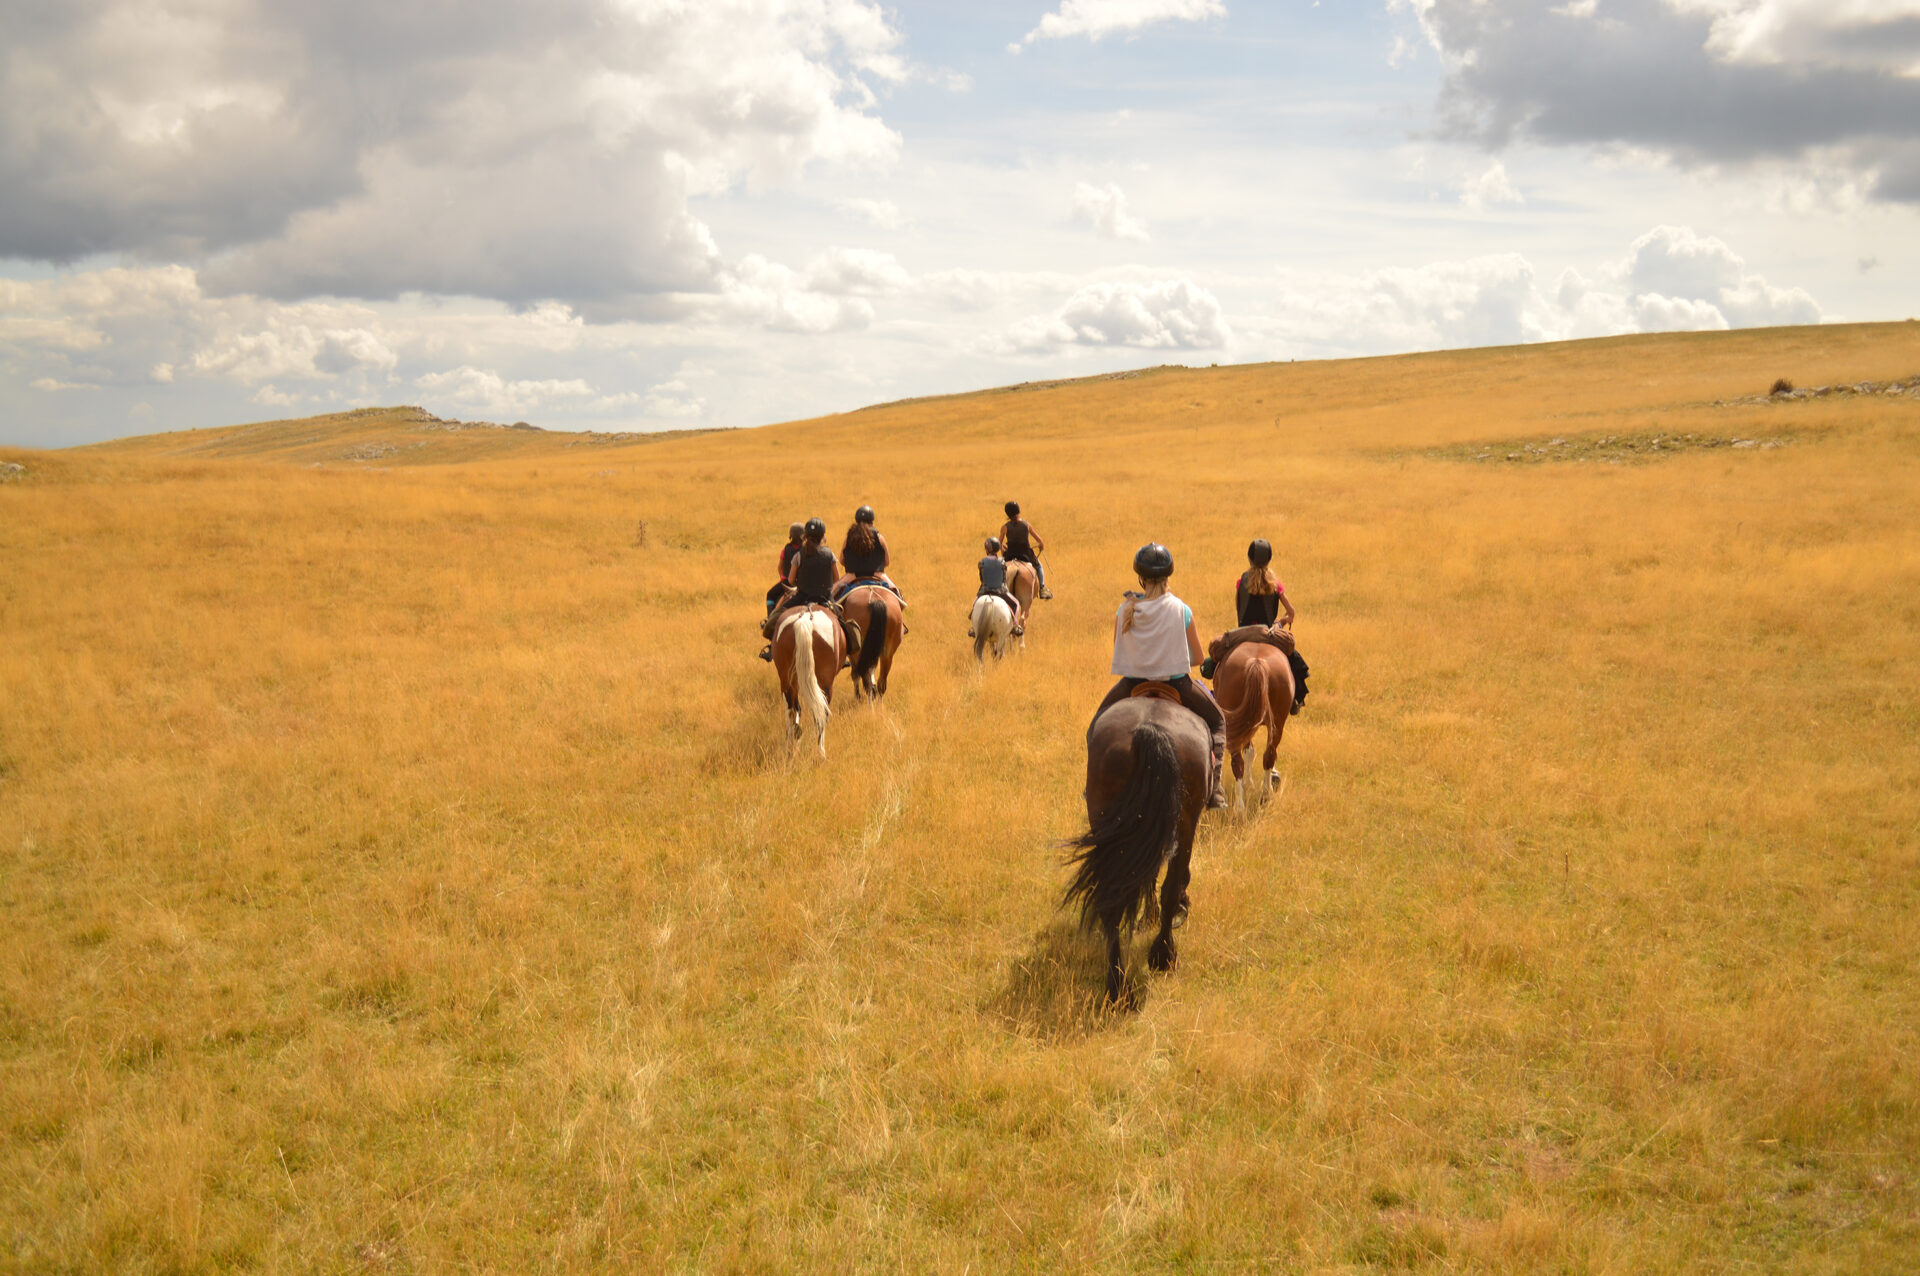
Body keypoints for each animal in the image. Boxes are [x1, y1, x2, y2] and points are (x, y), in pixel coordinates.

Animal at [771, 602, 848, 752]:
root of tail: (805, 621)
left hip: (787, 680)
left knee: (792, 710)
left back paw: (791, 746)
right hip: (825, 682)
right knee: (821, 713)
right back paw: (820, 751)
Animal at [1059, 690, 1205, 997]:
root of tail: (1148, 730)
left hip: (1108, 822)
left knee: (1112, 899)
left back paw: (1117, 986)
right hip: (1184, 824)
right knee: (1170, 886)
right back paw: (1163, 957)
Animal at [1213, 637, 1290, 817]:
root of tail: (1257, 662)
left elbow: (1249, 751)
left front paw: (1248, 783)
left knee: (1238, 762)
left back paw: (1240, 807)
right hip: (1277, 724)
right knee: (1269, 755)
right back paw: (1265, 796)